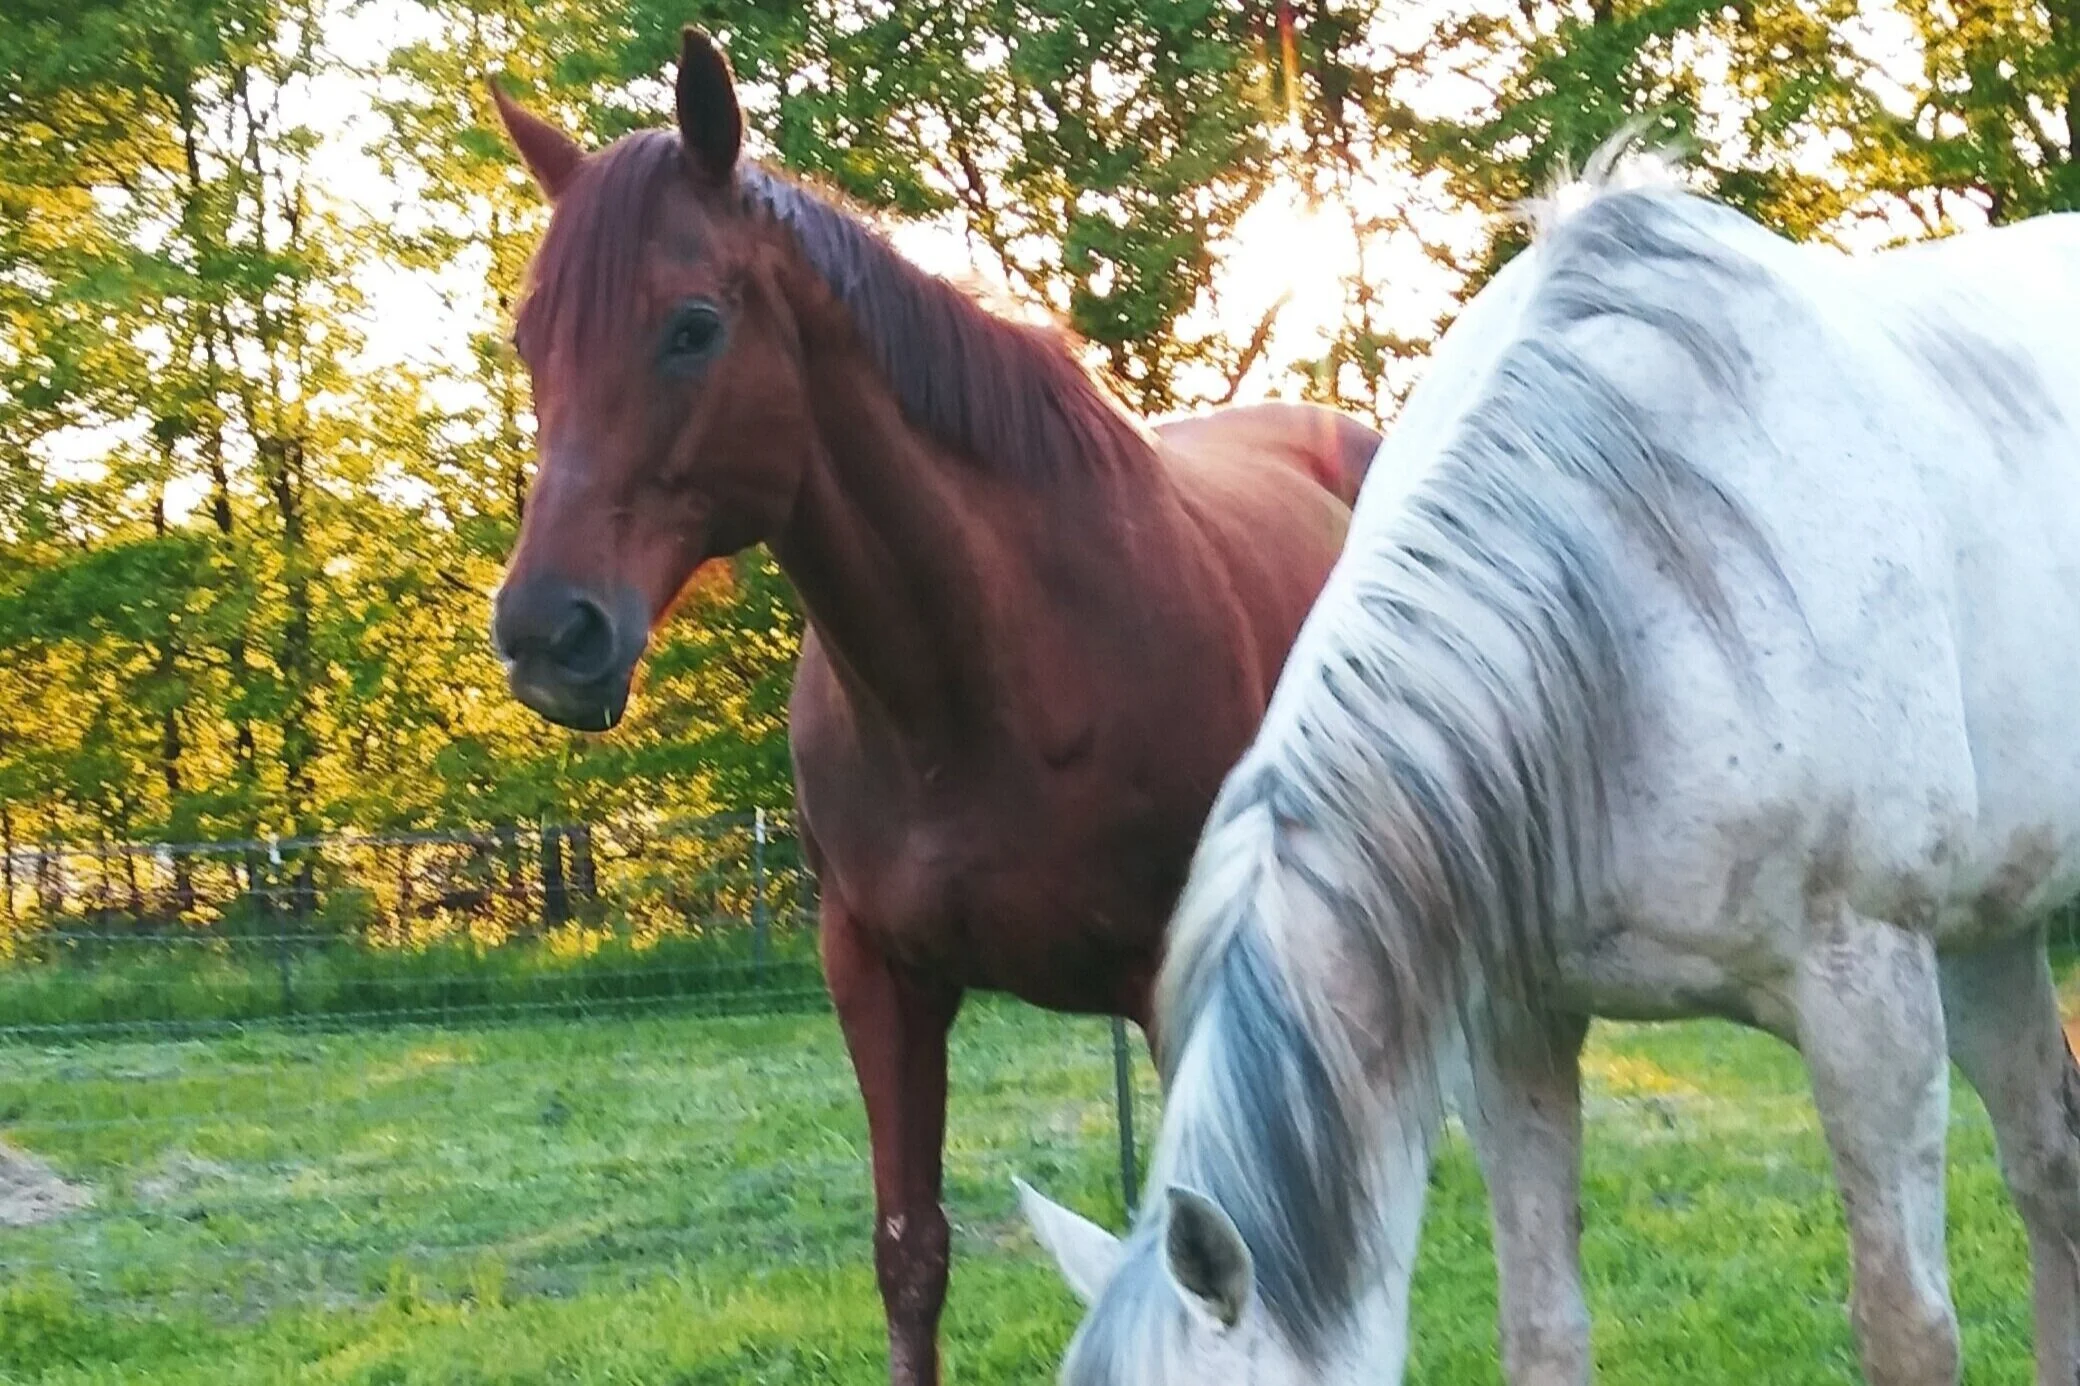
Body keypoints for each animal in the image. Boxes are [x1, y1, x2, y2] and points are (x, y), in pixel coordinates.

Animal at [484, 29, 1381, 1385]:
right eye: (531, 340)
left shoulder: (1169, 983)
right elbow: (911, 1252)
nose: (548, 634)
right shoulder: (878, 975)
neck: (979, 679)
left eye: (691, 328)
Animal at [1018, 140, 2080, 1386]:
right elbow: (1539, 1326)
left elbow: (1905, 1329)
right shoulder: (1513, 1023)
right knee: (2049, 1173)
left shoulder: (1869, 997)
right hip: (1989, 927)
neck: (1643, 583)